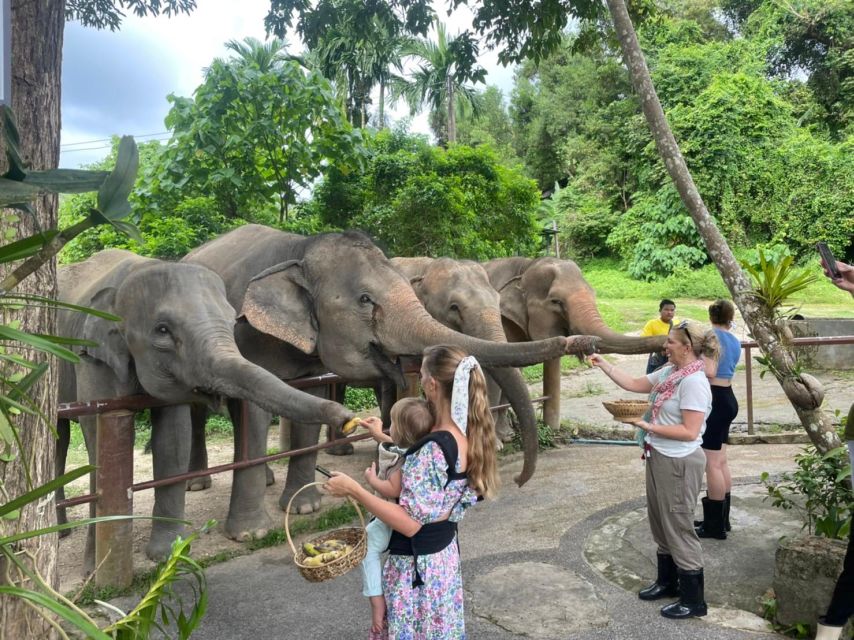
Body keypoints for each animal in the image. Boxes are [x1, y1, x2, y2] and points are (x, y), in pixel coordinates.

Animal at [56, 248, 354, 568]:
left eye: (232, 321)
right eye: (162, 330)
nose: (348, 418)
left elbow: (172, 440)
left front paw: (169, 554)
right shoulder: (90, 359)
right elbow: (97, 444)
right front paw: (92, 570)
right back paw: (61, 532)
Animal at [181, 225, 596, 516]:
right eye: (365, 300)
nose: (579, 342)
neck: (300, 249)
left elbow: (311, 397)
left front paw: (303, 507)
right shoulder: (243, 332)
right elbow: (253, 404)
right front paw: (254, 531)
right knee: (197, 411)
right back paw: (200, 485)